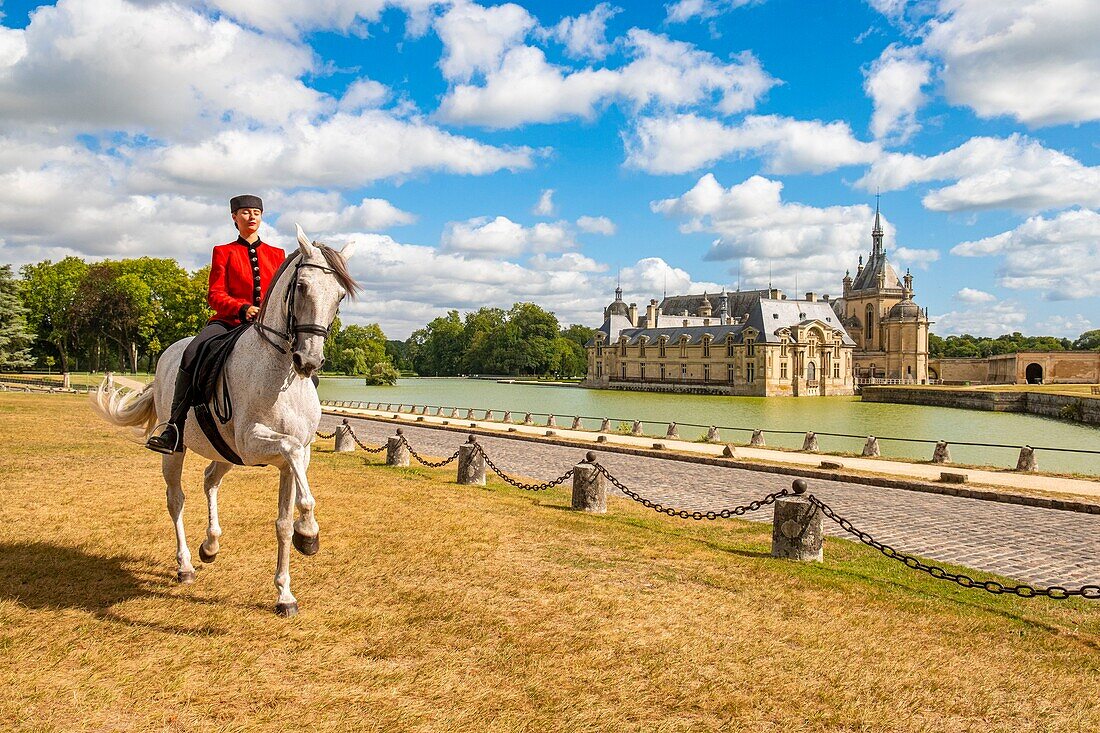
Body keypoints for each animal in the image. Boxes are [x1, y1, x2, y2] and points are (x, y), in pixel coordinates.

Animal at [91, 225, 356, 611]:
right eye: (303, 286)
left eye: (339, 295)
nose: (308, 361)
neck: (281, 373)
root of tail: (170, 351)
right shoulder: (256, 443)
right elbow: (293, 463)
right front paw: (309, 535)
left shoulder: (294, 458)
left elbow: (283, 520)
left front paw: (285, 593)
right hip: (177, 450)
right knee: (176, 499)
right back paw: (185, 564)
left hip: (225, 453)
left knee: (210, 479)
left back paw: (210, 545)